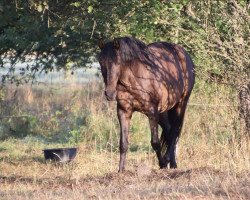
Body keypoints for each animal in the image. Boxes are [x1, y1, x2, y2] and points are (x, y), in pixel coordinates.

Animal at [98, 36, 195, 173]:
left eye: (118, 62)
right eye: (101, 62)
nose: (109, 93)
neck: (135, 79)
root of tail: (184, 54)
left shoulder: (152, 112)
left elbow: (155, 142)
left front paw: (162, 164)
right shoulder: (123, 112)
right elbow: (123, 143)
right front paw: (121, 171)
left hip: (181, 104)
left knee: (175, 131)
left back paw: (169, 161)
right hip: (163, 111)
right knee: (169, 131)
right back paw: (172, 163)